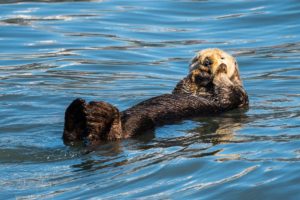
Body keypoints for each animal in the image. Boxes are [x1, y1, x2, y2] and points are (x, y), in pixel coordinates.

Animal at [63, 48, 248, 145]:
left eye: (222, 57)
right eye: (197, 58)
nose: (207, 62)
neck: (204, 87)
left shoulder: (237, 96)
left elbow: (227, 91)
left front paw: (221, 69)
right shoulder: (183, 90)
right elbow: (183, 87)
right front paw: (195, 74)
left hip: (141, 122)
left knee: (118, 134)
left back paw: (100, 115)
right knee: (72, 136)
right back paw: (78, 111)